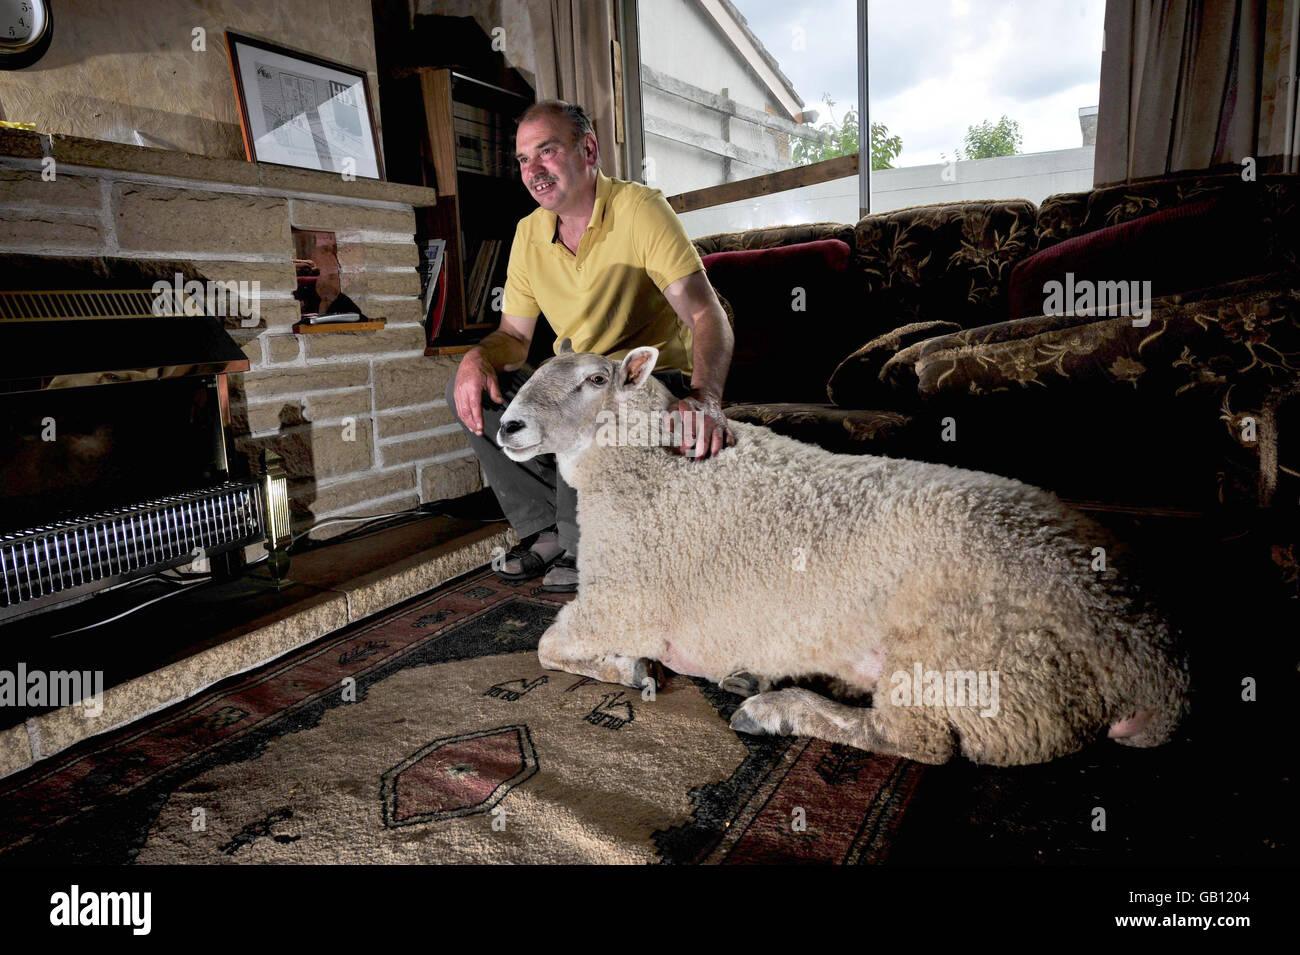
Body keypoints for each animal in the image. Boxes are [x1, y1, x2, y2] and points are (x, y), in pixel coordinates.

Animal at [493, 340, 1190, 764]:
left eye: (594, 380)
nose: (507, 426)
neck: (644, 467)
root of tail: (1154, 665)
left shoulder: (622, 600)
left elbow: (546, 646)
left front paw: (627, 669)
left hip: (967, 655)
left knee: (915, 738)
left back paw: (774, 709)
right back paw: (763, 677)